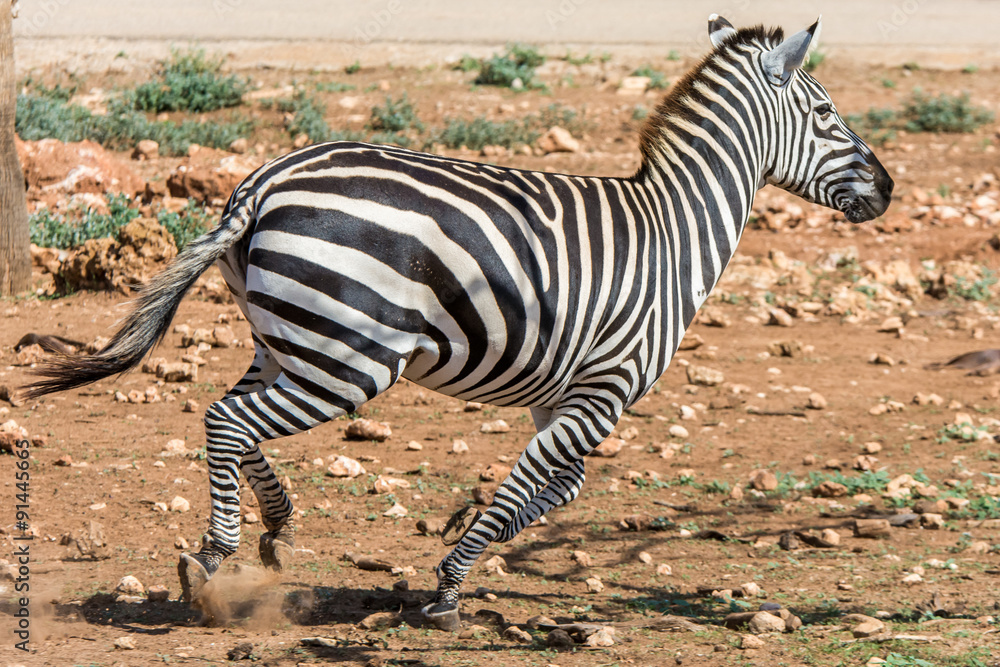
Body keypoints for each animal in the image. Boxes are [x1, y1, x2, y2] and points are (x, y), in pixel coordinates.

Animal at [25, 14, 892, 630]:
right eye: (825, 112)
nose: (887, 188)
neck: (673, 229)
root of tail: (263, 182)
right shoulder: (605, 388)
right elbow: (535, 482)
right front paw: (449, 581)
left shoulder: (565, 390)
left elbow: (560, 486)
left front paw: (468, 531)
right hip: (351, 356)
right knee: (227, 421)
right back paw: (214, 557)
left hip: (291, 339)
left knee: (231, 419)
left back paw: (276, 528)